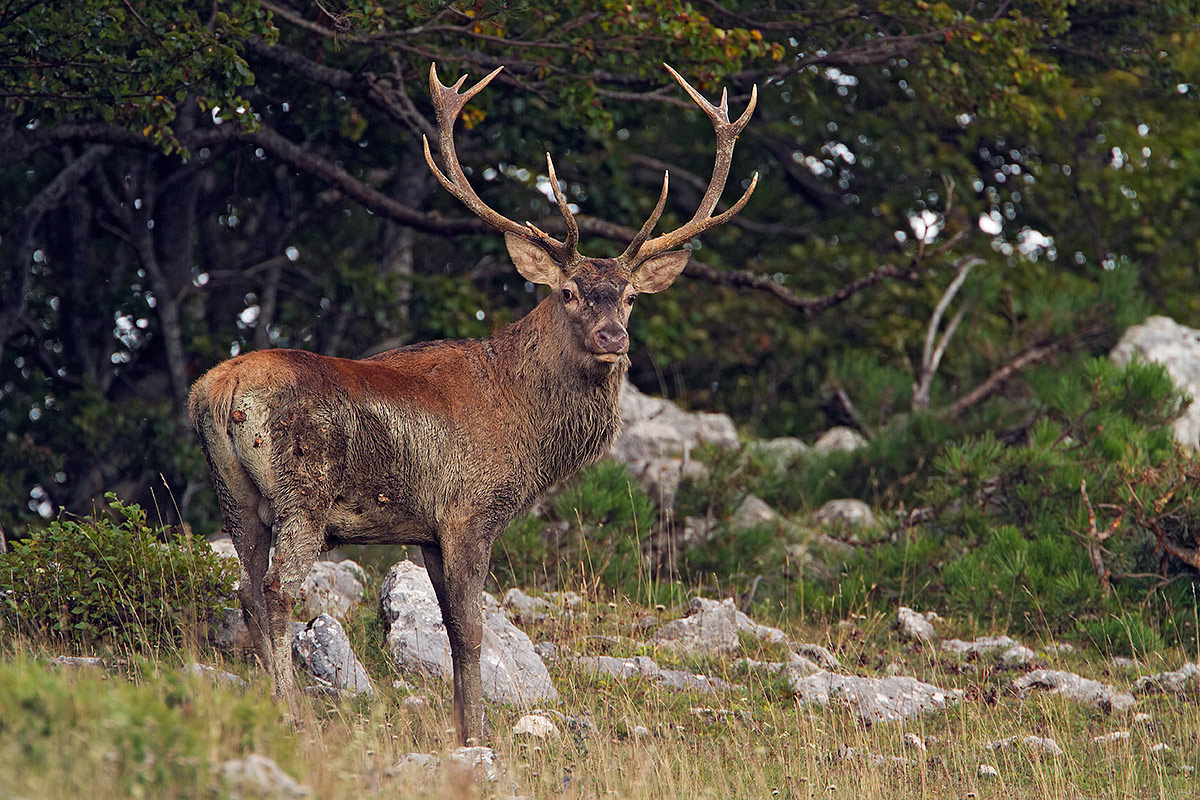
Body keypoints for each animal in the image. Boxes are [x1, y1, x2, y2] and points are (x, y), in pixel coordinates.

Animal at [189, 62, 756, 745]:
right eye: (568, 292)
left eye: (629, 297)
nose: (611, 339)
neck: (527, 431)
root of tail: (218, 391)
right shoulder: (468, 512)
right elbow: (471, 630)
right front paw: (479, 737)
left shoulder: (428, 531)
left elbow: (454, 631)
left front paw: (464, 732)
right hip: (303, 495)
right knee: (275, 593)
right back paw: (292, 717)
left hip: (234, 494)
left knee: (247, 590)